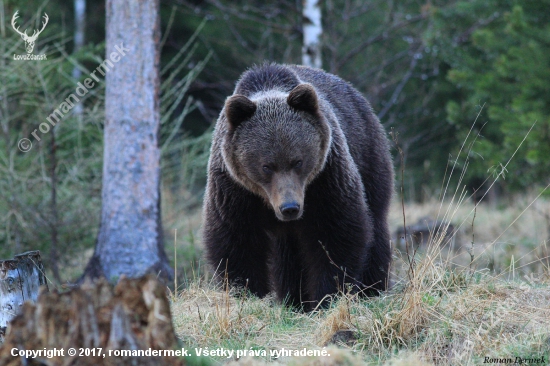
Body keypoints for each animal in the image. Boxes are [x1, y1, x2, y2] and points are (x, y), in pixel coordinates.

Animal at [205, 64, 394, 310]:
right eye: (266, 166)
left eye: (298, 161)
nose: (290, 208)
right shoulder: (234, 190)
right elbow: (237, 242)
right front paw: (248, 294)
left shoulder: (325, 178)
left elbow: (336, 234)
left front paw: (327, 297)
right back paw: (294, 298)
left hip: (368, 153)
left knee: (376, 221)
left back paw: (373, 288)